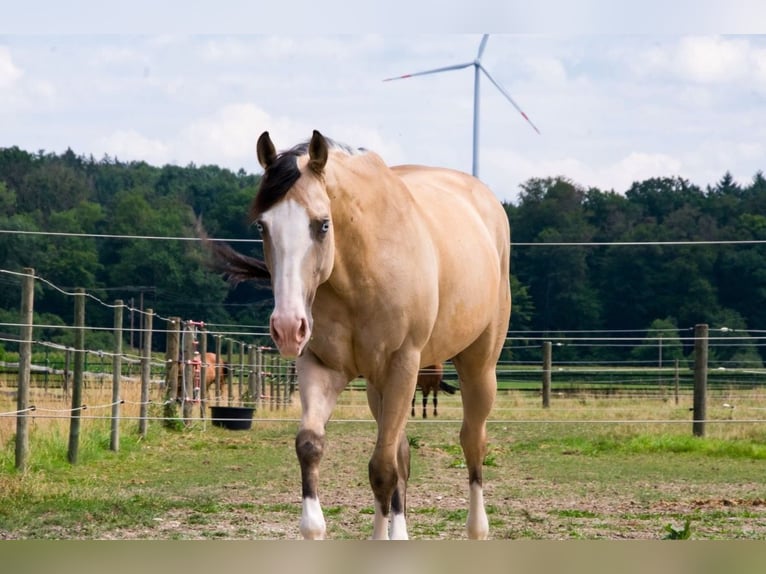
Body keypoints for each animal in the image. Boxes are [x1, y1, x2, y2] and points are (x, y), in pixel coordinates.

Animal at [207, 129, 512, 540]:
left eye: (322, 224)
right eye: (262, 226)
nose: (287, 327)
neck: (360, 270)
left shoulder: (403, 365)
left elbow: (382, 469)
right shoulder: (321, 366)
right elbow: (312, 445)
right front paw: (315, 526)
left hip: (477, 367)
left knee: (472, 441)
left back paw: (477, 529)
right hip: (377, 385)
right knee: (401, 453)